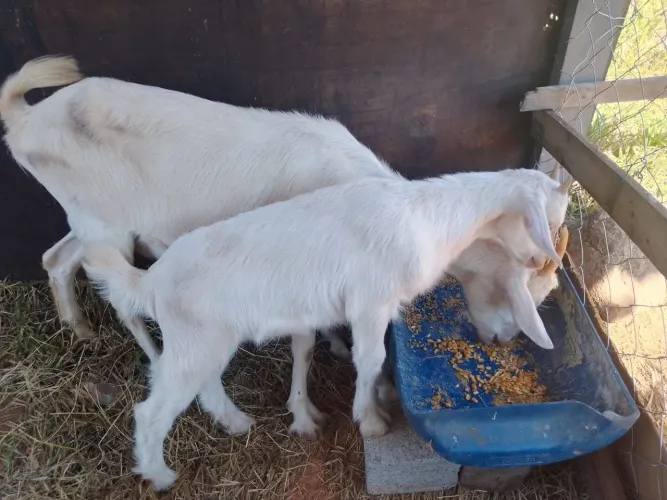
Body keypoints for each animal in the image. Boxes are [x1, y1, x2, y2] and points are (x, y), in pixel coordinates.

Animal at [82, 168, 569, 490]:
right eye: (549, 218)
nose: (540, 258)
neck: (425, 217)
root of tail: (151, 280)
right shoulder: (370, 302)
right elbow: (370, 358)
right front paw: (371, 420)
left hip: (205, 341)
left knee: (206, 385)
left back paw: (237, 422)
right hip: (195, 342)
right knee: (152, 411)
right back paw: (161, 475)